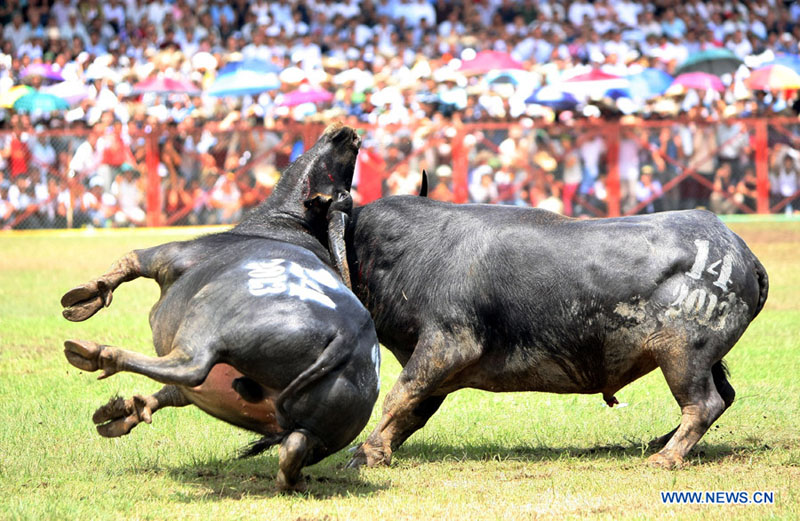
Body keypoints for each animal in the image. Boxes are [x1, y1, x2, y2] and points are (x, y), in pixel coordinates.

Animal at [61, 124, 380, 490]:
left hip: (206, 320)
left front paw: (85, 298)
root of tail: (346, 336)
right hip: (313, 429)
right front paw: (125, 411)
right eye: (340, 177)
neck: (287, 224)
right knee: (295, 445)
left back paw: (96, 353)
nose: (348, 133)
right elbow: (169, 395)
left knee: (190, 366)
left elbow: (129, 260)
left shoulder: (168, 255)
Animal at [346, 189, 768, 470]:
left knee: (704, 403)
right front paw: (379, 449)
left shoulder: (448, 343)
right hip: (705, 359)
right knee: (724, 396)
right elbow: (415, 408)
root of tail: (742, 254)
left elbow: (400, 395)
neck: (408, 251)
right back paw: (660, 443)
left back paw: (666, 456)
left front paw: (366, 451)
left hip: (682, 354)